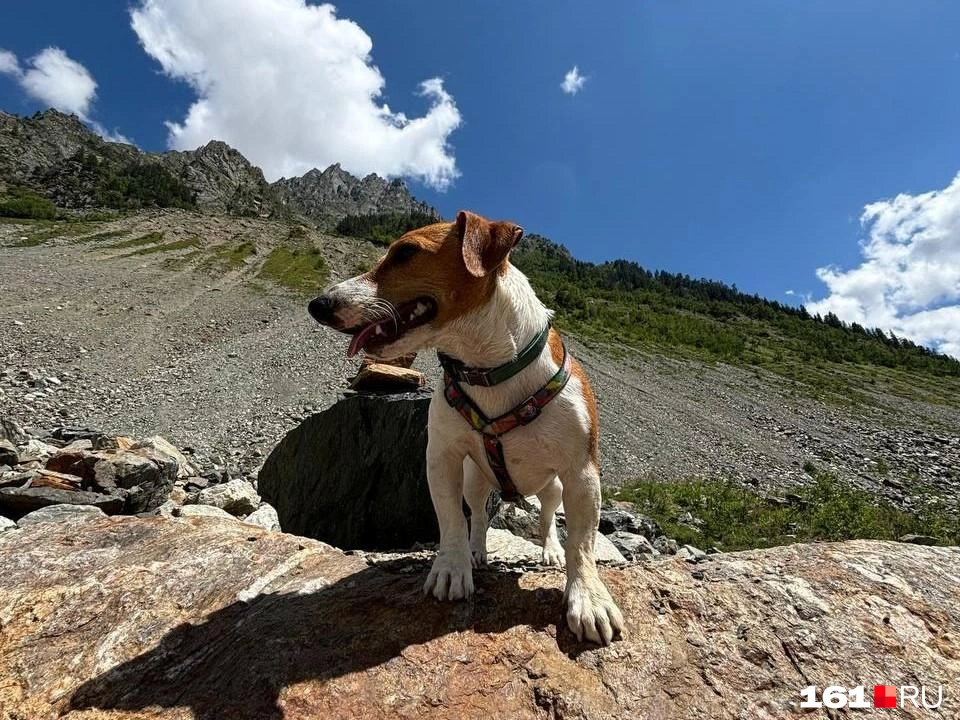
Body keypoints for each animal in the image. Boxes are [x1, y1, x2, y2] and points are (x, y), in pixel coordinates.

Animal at [308, 211, 624, 644]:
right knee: (477, 515)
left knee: (547, 518)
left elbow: (583, 543)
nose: (318, 305)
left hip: (555, 487)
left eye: (405, 252)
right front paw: (452, 568)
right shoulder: (442, 457)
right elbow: (452, 520)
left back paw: (549, 550)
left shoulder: (582, 473)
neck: (488, 368)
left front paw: (588, 598)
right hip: (476, 479)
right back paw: (477, 552)